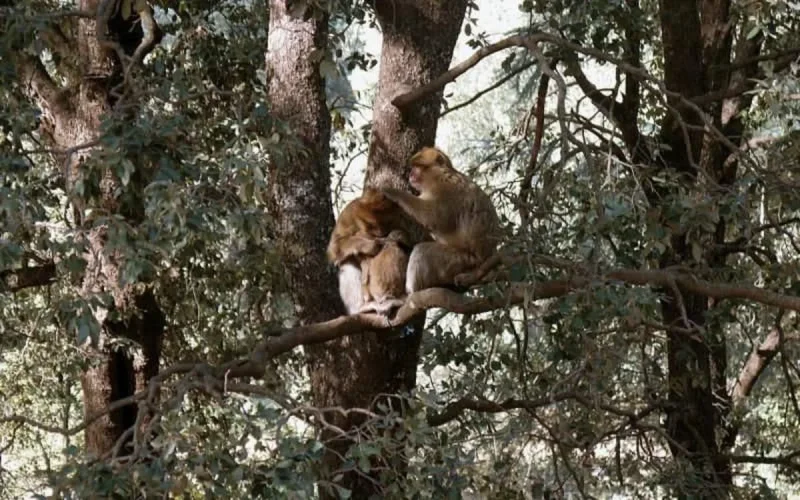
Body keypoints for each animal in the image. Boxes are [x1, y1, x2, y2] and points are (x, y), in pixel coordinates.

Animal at [380, 147, 501, 293]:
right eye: (413, 167)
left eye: (417, 167)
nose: (410, 175)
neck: (438, 176)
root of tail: (485, 260)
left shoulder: (447, 190)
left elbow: (436, 218)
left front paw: (394, 193)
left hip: (463, 262)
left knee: (423, 252)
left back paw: (413, 291)